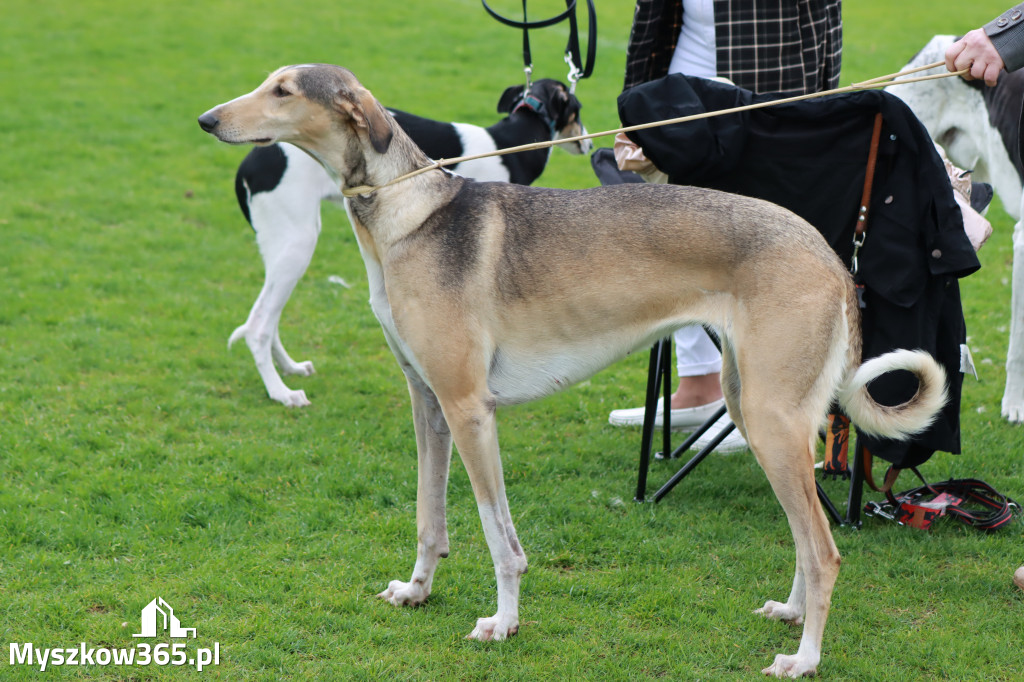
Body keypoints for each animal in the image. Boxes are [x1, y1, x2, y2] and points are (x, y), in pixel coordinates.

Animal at [228, 78, 589, 403]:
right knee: (258, 325)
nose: (587, 143)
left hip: (283, 252)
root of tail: (247, 165)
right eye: (578, 108)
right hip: (297, 245)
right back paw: (281, 393)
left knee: (264, 317)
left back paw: (290, 368)